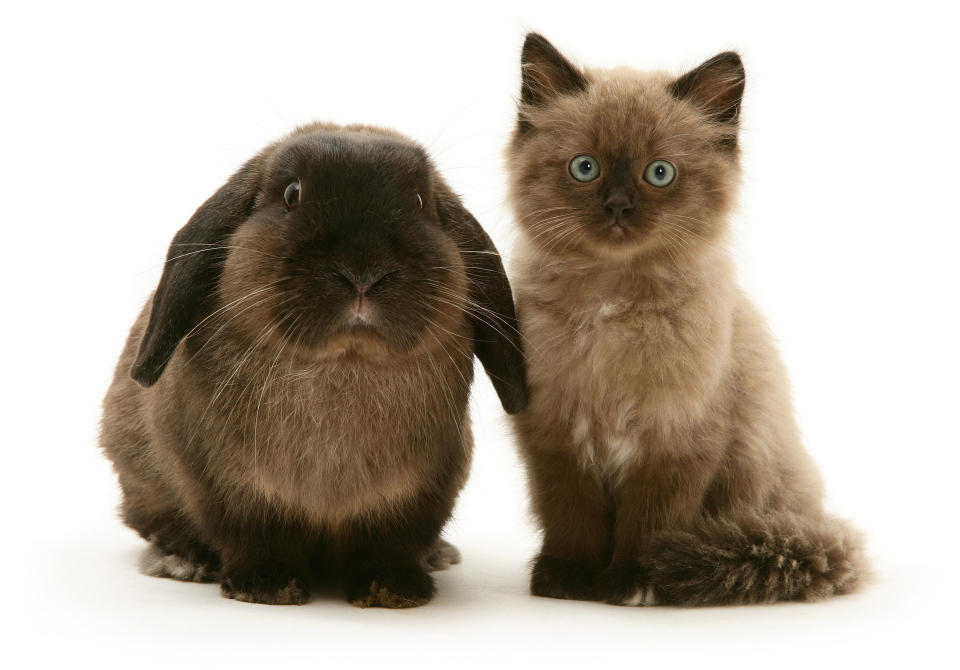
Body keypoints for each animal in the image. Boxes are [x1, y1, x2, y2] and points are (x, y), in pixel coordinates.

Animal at [97, 122, 524, 608]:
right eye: (292, 194)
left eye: (418, 202)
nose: (363, 273)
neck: (344, 364)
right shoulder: (225, 486)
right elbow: (252, 536)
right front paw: (267, 585)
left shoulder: (421, 492)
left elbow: (393, 542)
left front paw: (392, 589)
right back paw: (183, 559)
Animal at [506, 32, 868, 608]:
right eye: (585, 168)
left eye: (660, 173)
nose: (618, 208)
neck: (612, 302)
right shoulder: (555, 433)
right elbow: (572, 516)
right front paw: (568, 578)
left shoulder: (676, 438)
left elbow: (650, 522)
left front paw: (634, 580)